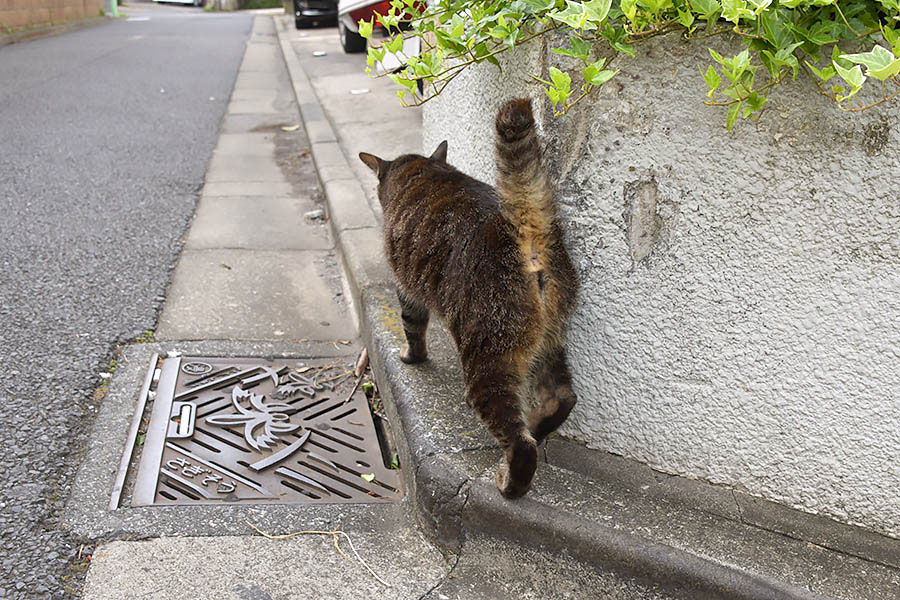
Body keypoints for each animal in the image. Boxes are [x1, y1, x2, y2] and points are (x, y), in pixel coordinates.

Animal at [358, 98, 576, 500]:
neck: (423, 172)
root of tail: (521, 226)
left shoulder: (406, 288)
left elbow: (412, 327)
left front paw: (412, 356)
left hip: (488, 358)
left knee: (520, 444)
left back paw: (510, 483)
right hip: (548, 341)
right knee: (561, 398)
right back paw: (538, 427)